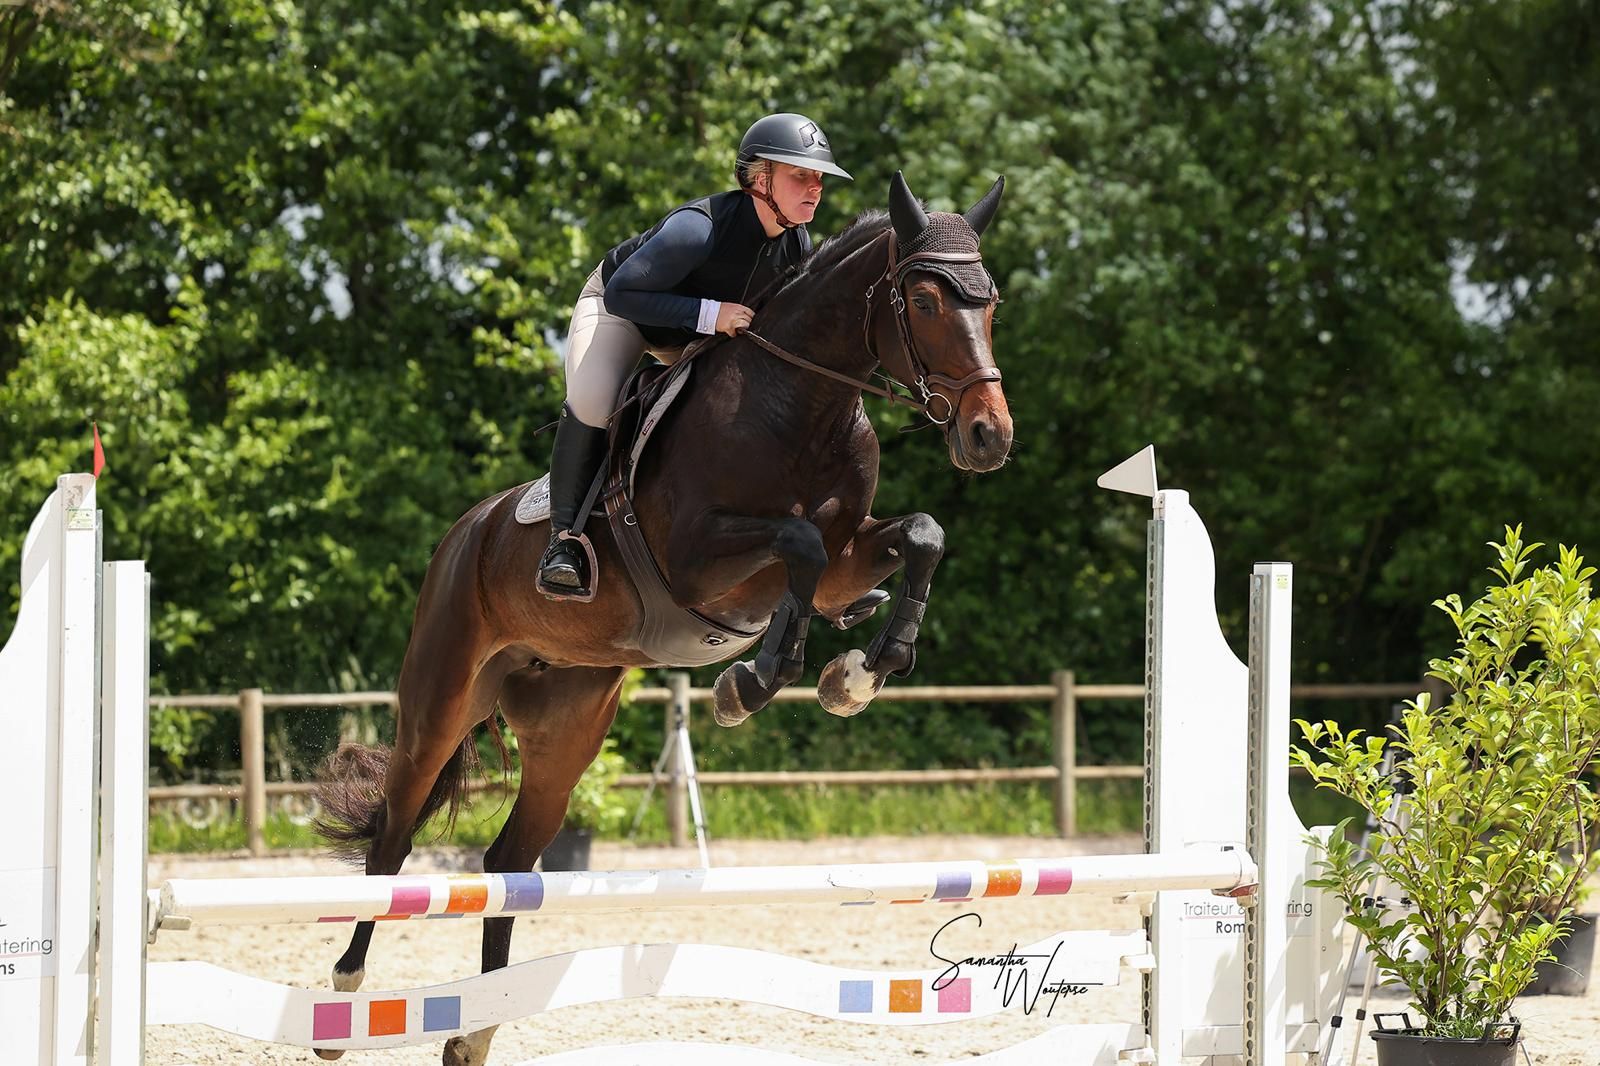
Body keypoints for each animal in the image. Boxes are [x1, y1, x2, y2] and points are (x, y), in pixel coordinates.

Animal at [313, 171, 1014, 1065]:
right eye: (924, 299)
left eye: (990, 302)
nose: (989, 436)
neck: (802, 402)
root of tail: (465, 532)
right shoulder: (700, 558)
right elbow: (797, 546)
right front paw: (751, 684)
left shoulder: (847, 558)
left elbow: (919, 534)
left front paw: (857, 674)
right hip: (440, 697)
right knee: (395, 836)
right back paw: (344, 997)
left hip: (569, 723)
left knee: (510, 859)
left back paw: (477, 1028)